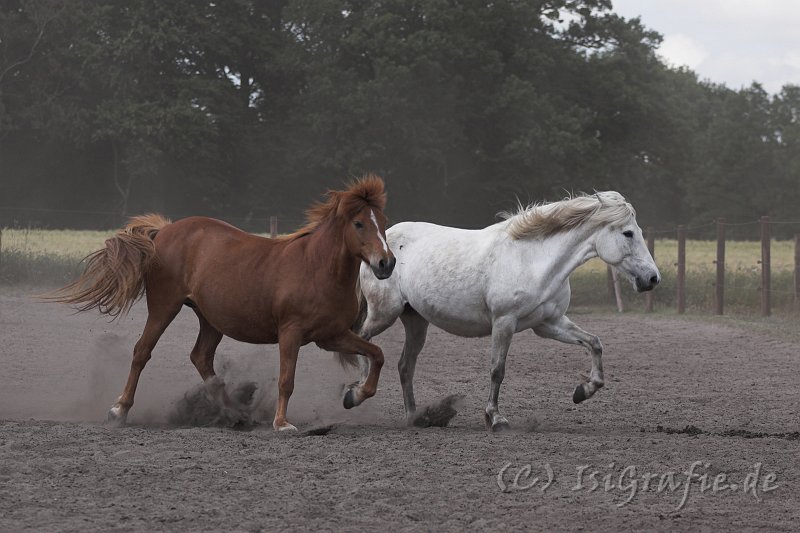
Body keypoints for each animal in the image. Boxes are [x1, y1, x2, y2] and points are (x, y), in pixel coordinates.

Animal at [51, 177, 396, 430]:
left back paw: (235, 412)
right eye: (359, 223)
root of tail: (164, 230)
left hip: (210, 319)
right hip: (164, 307)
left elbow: (377, 355)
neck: (317, 268)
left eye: (382, 221)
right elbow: (287, 379)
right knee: (142, 352)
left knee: (201, 358)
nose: (386, 263)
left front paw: (354, 395)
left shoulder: (331, 336)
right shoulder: (291, 332)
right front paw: (282, 423)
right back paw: (119, 410)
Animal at [336, 189, 656, 430]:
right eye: (628, 233)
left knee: (405, 365)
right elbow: (497, 370)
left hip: (415, 320)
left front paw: (583, 391)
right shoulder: (505, 322)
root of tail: (380, 245)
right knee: (363, 340)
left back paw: (415, 417)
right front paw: (495, 418)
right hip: (384, 313)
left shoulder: (549, 324)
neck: (534, 260)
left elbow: (594, 343)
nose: (652, 278)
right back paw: (357, 392)